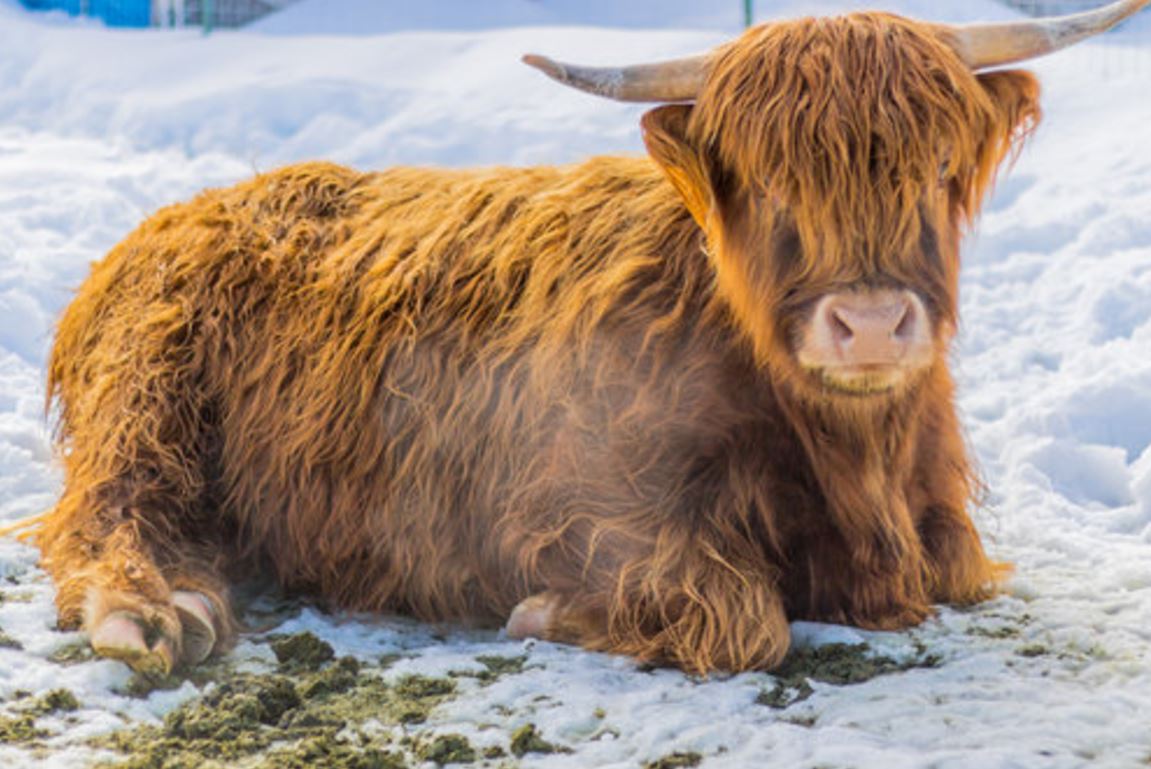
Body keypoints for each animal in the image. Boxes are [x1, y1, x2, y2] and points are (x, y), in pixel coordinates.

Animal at [22, 1, 1146, 672]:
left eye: (934, 169)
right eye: (768, 182)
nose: (868, 323)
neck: (849, 458)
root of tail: (191, 208)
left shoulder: (938, 533)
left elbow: (942, 570)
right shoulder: (569, 504)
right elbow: (745, 616)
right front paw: (549, 614)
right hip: (147, 394)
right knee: (109, 510)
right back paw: (155, 610)